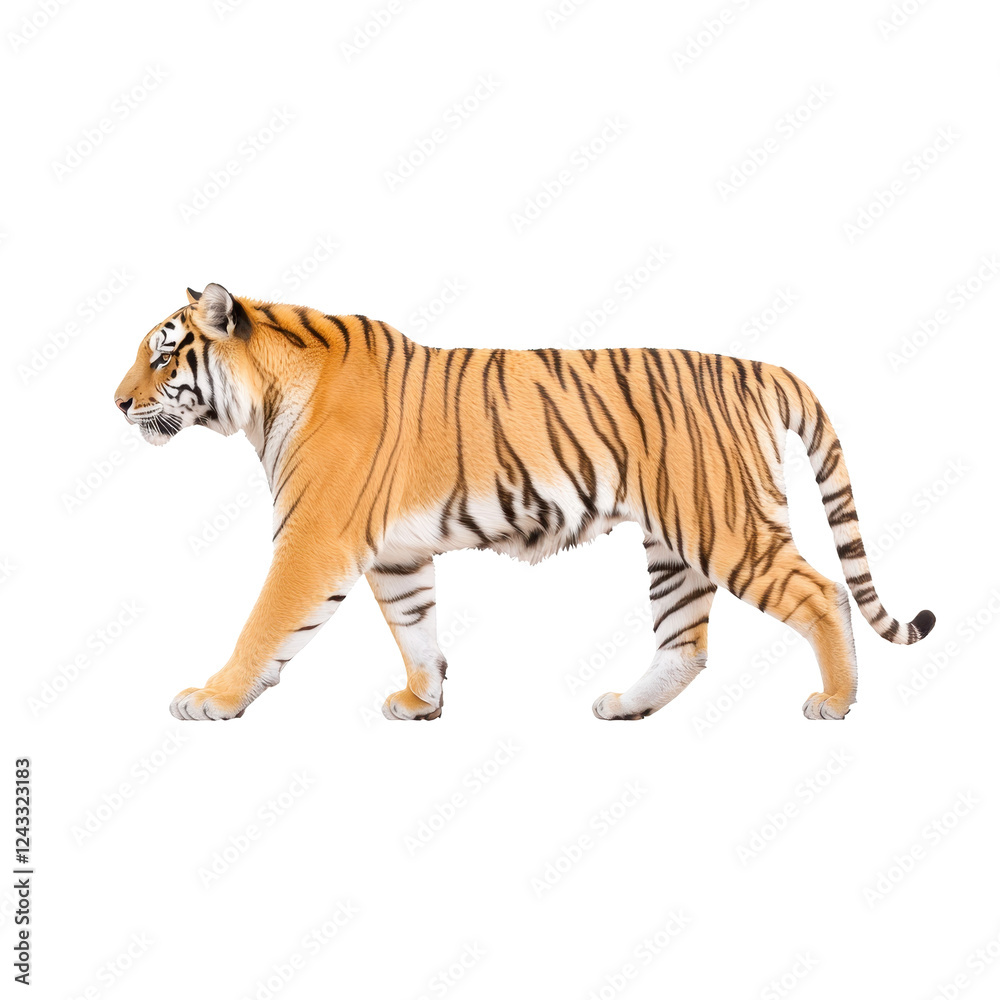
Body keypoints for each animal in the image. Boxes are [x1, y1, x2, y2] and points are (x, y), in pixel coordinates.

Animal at [114, 283, 935, 723]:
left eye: (163, 353)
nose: (116, 402)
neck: (262, 400)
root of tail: (755, 367)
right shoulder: (398, 557)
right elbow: (415, 628)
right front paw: (423, 702)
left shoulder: (314, 538)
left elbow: (265, 625)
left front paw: (211, 698)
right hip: (675, 545)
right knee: (686, 644)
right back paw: (626, 707)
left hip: (725, 526)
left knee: (823, 594)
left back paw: (835, 701)